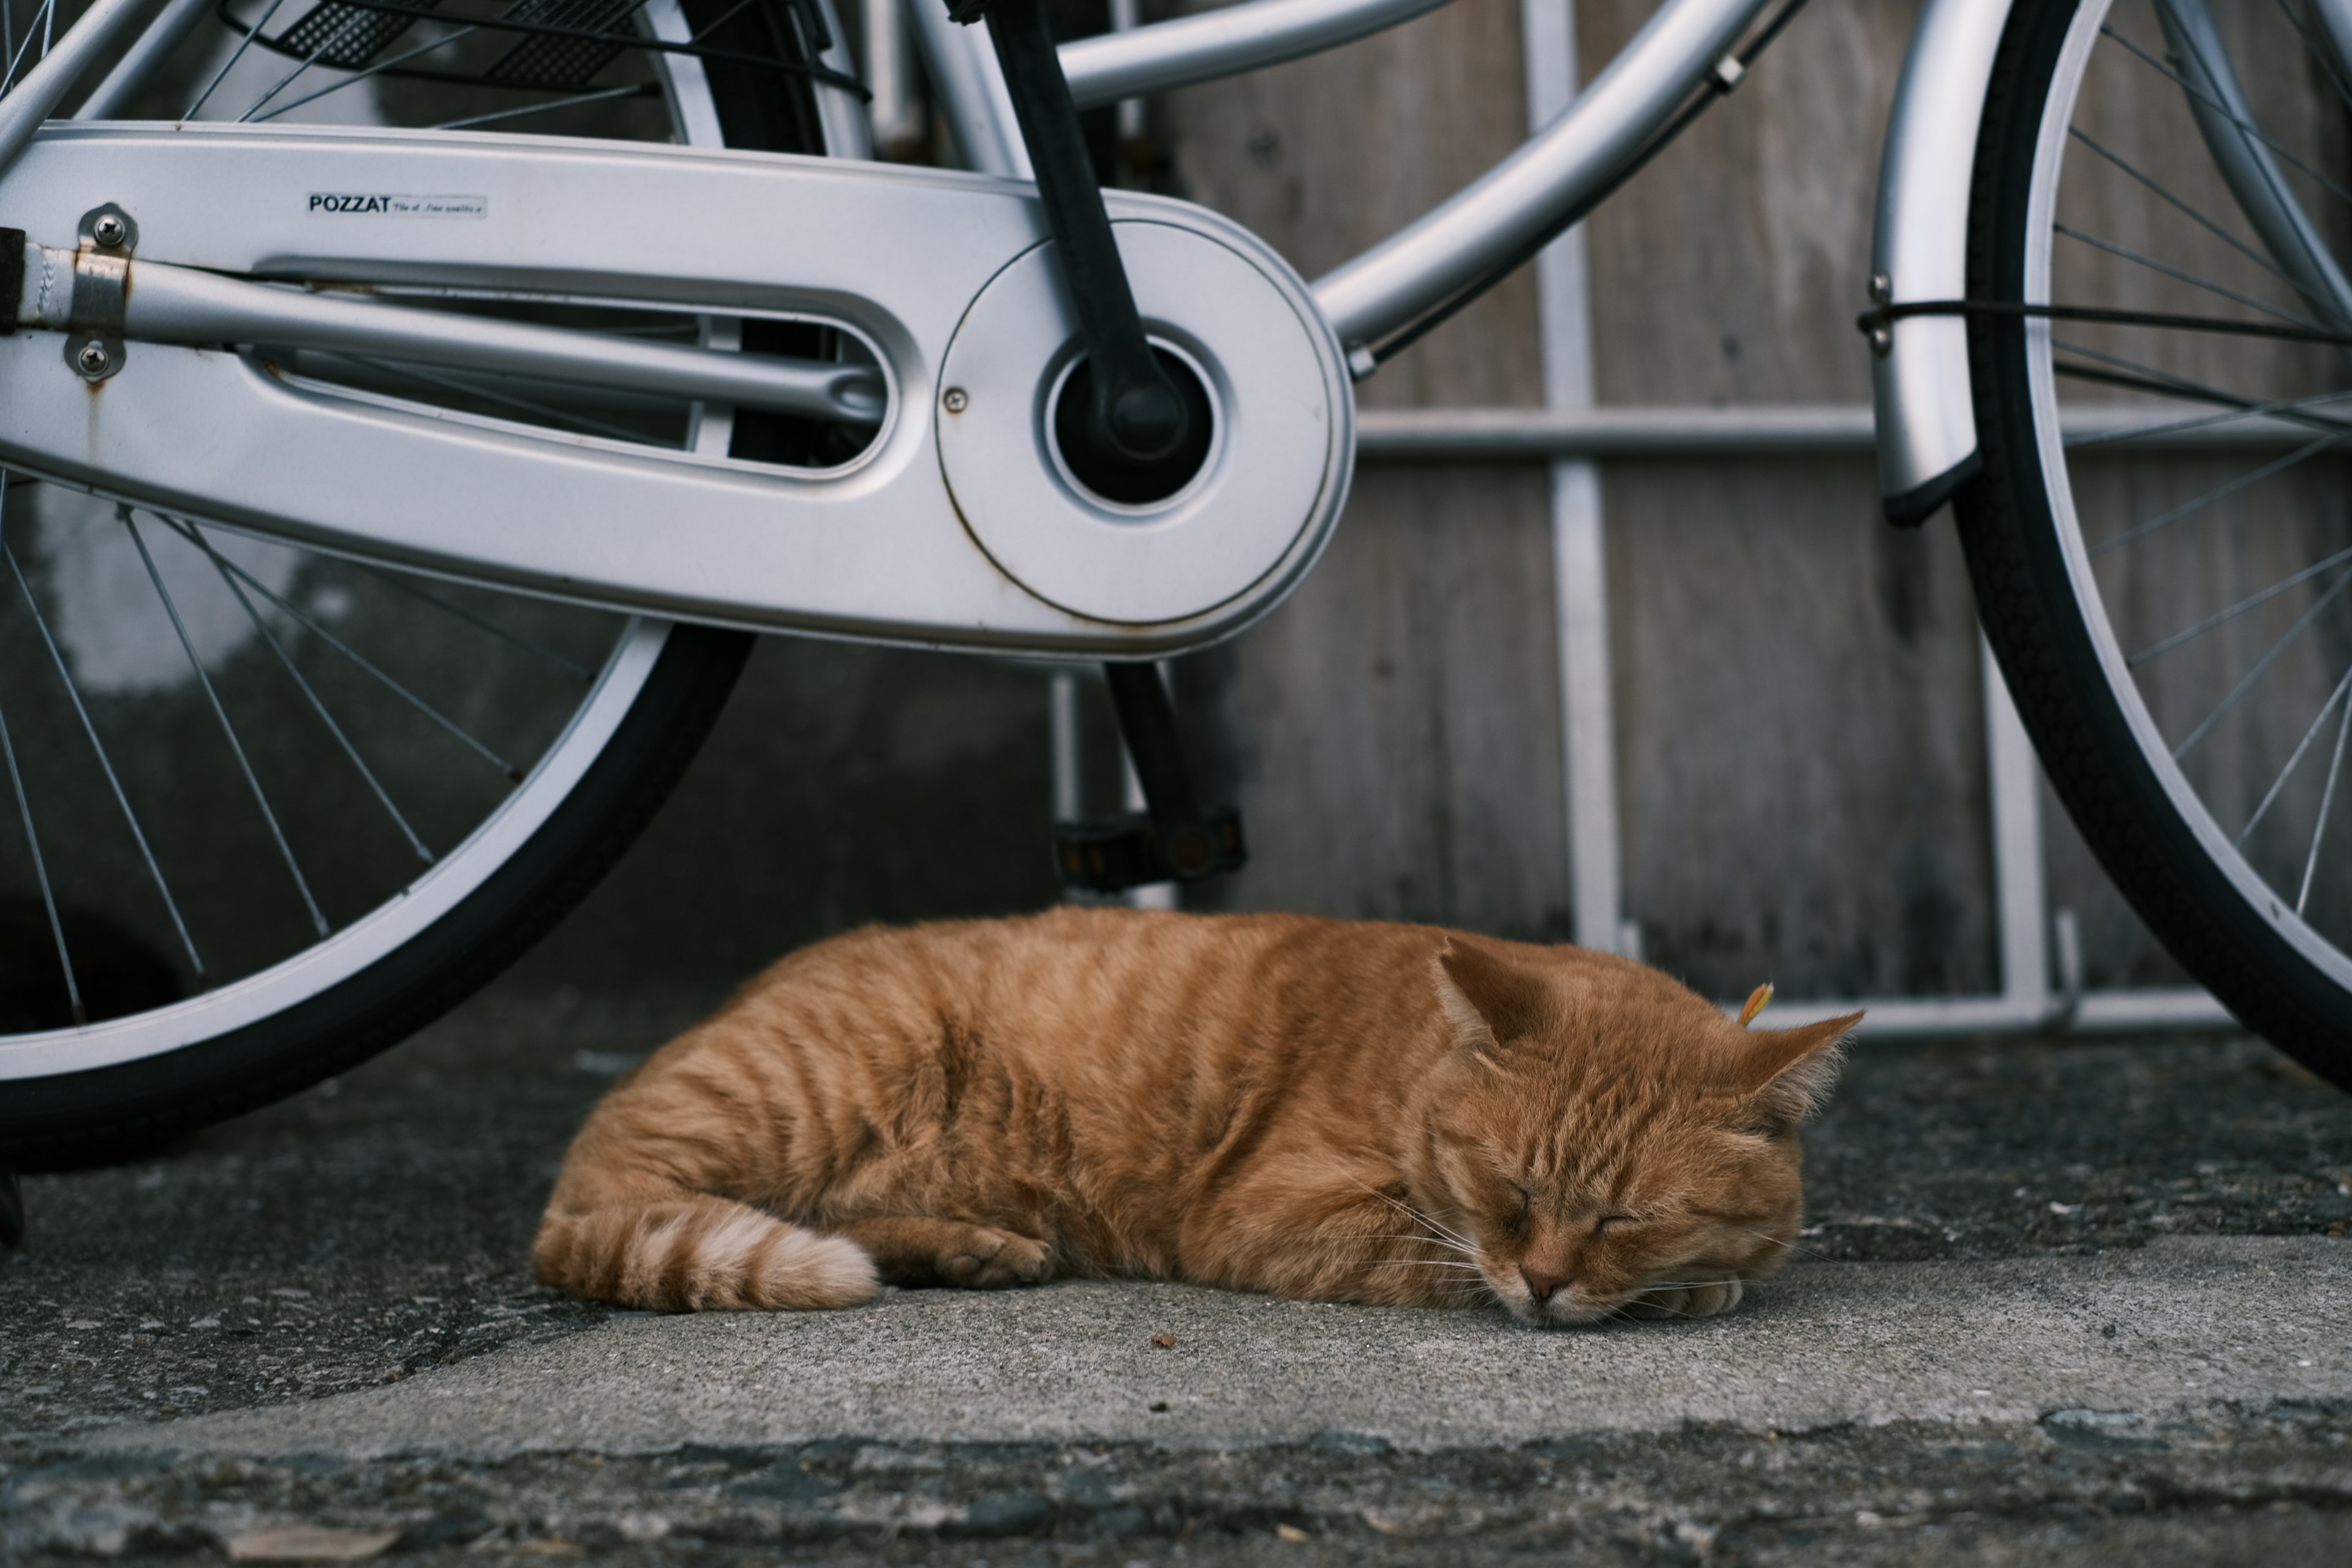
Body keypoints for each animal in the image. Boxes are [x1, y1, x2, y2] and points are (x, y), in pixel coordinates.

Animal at [533, 907, 1853, 1325]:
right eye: (1512, 1191)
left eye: (1625, 1215)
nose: (1543, 1284)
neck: (1414, 1066)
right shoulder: (1279, 1211)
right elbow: (1432, 1255)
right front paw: (1683, 1292)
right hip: (813, 1083)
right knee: (614, 1213)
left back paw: (970, 1249)